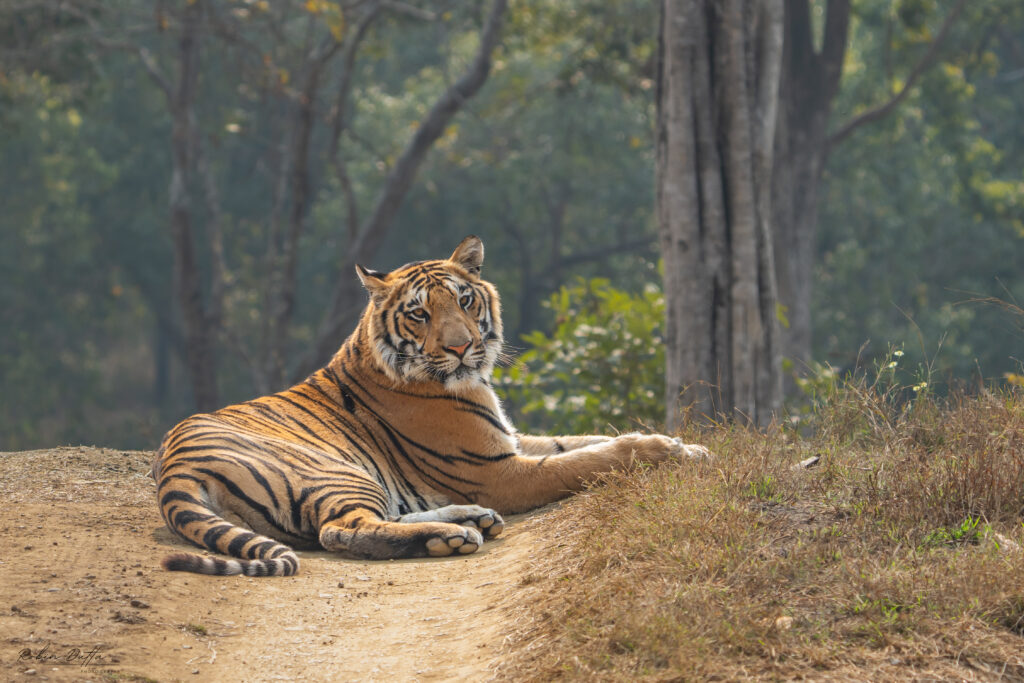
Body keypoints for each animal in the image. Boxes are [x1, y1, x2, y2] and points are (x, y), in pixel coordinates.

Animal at [153, 237, 712, 573]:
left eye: (464, 300)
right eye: (419, 314)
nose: (462, 347)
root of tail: (173, 470)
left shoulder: (509, 440)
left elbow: (584, 442)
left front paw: (690, 447)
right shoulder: (500, 471)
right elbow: (589, 460)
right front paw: (666, 450)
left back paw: (470, 521)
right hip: (336, 470)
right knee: (342, 530)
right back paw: (453, 537)